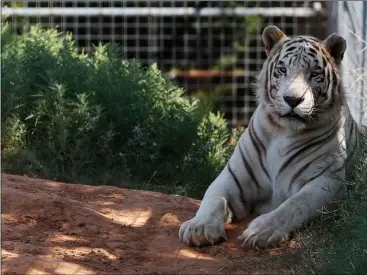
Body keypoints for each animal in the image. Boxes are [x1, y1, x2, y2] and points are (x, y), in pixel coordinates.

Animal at [180, 25, 360, 250]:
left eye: (314, 73)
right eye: (282, 69)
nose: (292, 99)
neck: (284, 131)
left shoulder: (327, 180)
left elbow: (294, 205)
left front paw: (262, 231)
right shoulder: (232, 177)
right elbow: (213, 198)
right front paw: (199, 227)